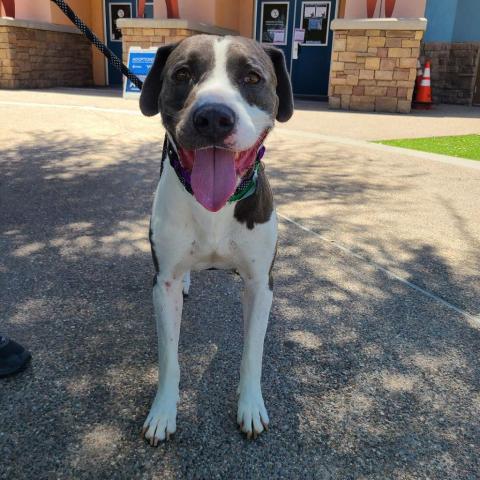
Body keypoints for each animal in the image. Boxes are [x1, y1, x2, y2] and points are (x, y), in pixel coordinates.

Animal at [139, 33, 294, 446]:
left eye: (252, 77)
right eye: (182, 73)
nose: (212, 117)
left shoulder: (260, 283)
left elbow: (252, 353)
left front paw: (250, 406)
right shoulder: (163, 284)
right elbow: (169, 357)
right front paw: (163, 412)